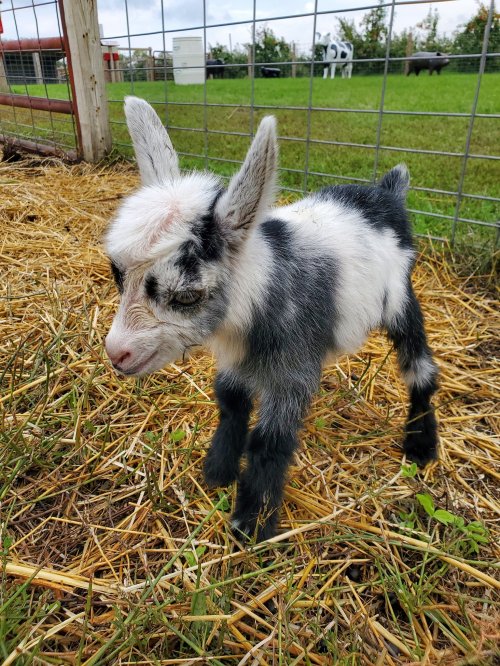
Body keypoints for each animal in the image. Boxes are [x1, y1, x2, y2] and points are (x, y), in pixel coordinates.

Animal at [105, 97, 439, 541]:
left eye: (186, 296)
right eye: (117, 275)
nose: (116, 353)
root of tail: (387, 194)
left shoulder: (292, 370)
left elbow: (270, 440)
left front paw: (252, 522)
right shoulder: (237, 358)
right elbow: (230, 402)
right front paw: (218, 471)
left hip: (401, 298)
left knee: (420, 368)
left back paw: (421, 446)